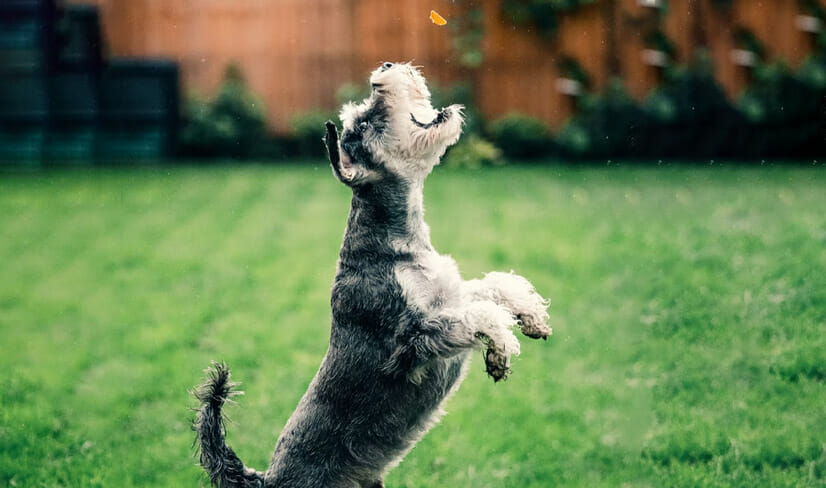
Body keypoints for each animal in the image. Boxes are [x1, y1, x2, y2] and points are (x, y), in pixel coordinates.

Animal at [194, 62, 552, 488]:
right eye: (364, 123)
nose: (384, 68)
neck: (396, 240)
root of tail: (266, 479)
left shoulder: (451, 296)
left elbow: (495, 286)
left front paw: (533, 317)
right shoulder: (411, 340)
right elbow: (479, 315)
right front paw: (500, 351)